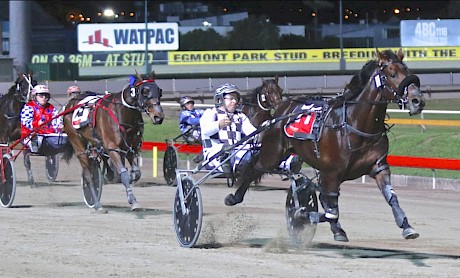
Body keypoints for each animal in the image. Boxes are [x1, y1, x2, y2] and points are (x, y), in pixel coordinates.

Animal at [62, 71, 164, 211]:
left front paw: (129, 177)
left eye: (159, 91)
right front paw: (133, 201)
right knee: (88, 174)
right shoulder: (113, 148)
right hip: (77, 143)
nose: (158, 117)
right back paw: (97, 204)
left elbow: (136, 173)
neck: (123, 114)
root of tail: (70, 104)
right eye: (144, 91)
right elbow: (124, 174)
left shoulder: (132, 148)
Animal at [225, 48, 426, 241]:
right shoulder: (331, 172)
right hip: (273, 152)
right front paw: (303, 214)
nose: (418, 101)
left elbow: (391, 196)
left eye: (408, 71)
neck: (354, 124)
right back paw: (234, 197)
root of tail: (283, 108)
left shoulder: (378, 166)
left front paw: (407, 226)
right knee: (255, 168)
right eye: (392, 74)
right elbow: (331, 211)